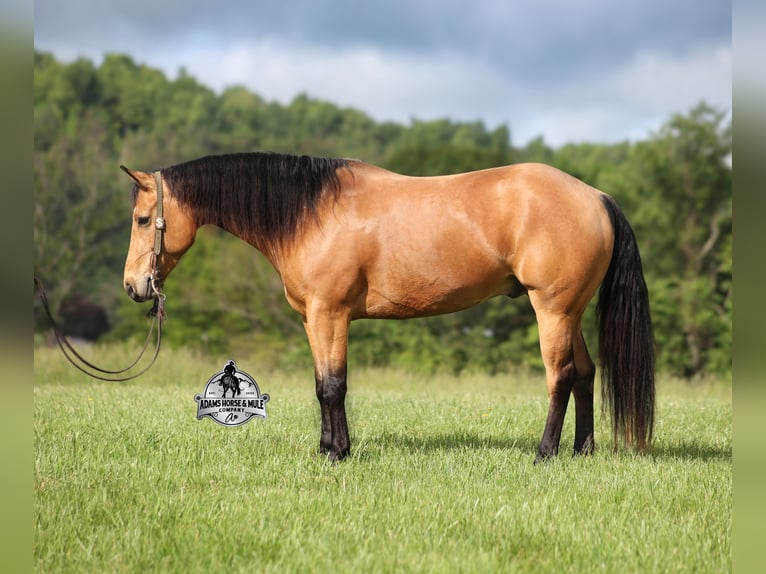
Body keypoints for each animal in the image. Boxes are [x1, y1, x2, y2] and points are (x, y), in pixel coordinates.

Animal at [121, 152, 655, 462]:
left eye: (144, 219)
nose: (133, 286)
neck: (312, 212)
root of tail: (597, 197)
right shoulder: (313, 319)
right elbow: (321, 384)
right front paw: (327, 448)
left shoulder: (331, 314)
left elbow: (333, 386)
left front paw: (337, 454)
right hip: (572, 312)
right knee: (585, 373)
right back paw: (582, 451)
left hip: (553, 311)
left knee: (560, 375)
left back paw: (545, 453)